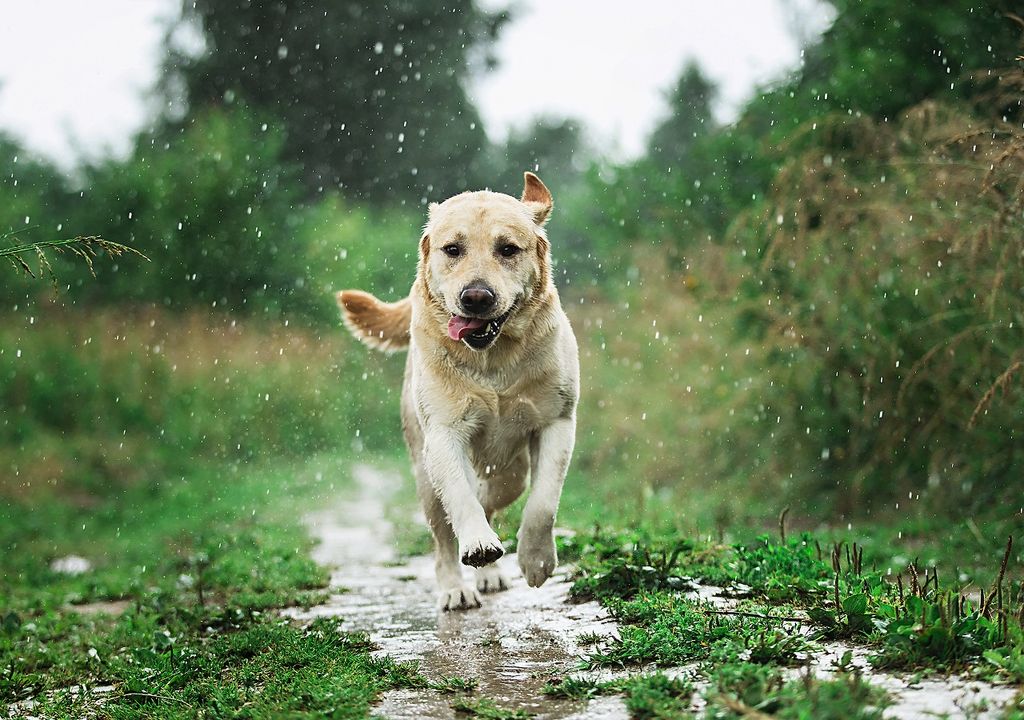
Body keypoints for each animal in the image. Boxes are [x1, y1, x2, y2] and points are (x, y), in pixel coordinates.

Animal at [335, 172, 577, 610]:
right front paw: (479, 544)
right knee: (444, 537)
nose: (476, 297)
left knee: (498, 492)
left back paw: (491, 573)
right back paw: (456, 587)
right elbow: (461, 499)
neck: (493, 360)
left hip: (512, 470)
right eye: (452, 249)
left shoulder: (558, 422)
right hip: (425, 476)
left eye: (507, 249)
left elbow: (544, 503)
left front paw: (536, 561)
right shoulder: (444, 434)